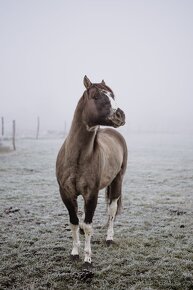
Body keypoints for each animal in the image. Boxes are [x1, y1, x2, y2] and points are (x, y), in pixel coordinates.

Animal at [55, 75, 127, 268]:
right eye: (95, 96)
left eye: (113, 95)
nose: (120, 115)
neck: (77, 157)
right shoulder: (66, 193)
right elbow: (74, 222)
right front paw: (74, 252)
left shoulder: (91, 194)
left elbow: (88, 226)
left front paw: (87, 258)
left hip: (117, 180)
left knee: (112, 209)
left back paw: (109, 238)